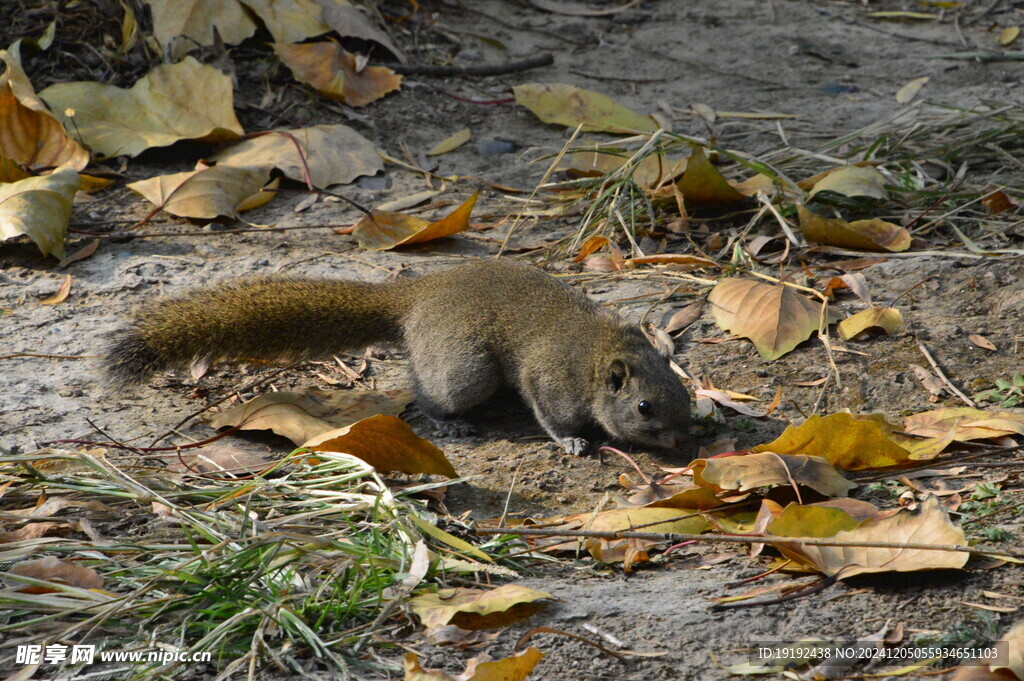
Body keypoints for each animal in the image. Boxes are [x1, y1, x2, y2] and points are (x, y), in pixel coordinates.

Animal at [108, 258, 692, 454]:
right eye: (644, 408)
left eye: (684, 392)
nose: (684, 444)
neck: (601, 354)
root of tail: (416, 297)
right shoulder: (551, 380)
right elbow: (550, 415)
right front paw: (570, 441)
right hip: (466, 371)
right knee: (428, 392)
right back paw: (449, 423)